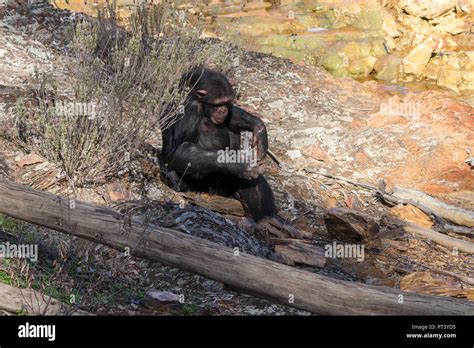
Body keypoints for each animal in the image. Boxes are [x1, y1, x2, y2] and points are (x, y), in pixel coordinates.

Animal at [161, 66, 298, 238]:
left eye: (227, 102)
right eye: (218, 103)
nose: (223, 109)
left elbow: (232, 117)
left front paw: (259, 128)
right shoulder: (189, 108)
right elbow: (179, 149)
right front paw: (240, 164)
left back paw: (268, 219)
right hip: (203, 186)